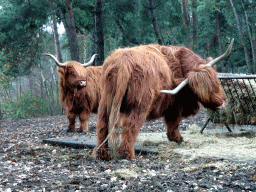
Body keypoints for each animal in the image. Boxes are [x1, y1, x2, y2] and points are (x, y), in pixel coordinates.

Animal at [95, 38, 234, 159]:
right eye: (207, 89)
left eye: (216, 82)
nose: (222, 102)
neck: (180, 65)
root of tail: (124, 61)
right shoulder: (175, 106)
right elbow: (173, 123)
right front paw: (178, 139)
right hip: (138, 105)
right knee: (130, 126)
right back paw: (127, 154)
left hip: (105, 102)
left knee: (102, 125)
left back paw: (102, 154)